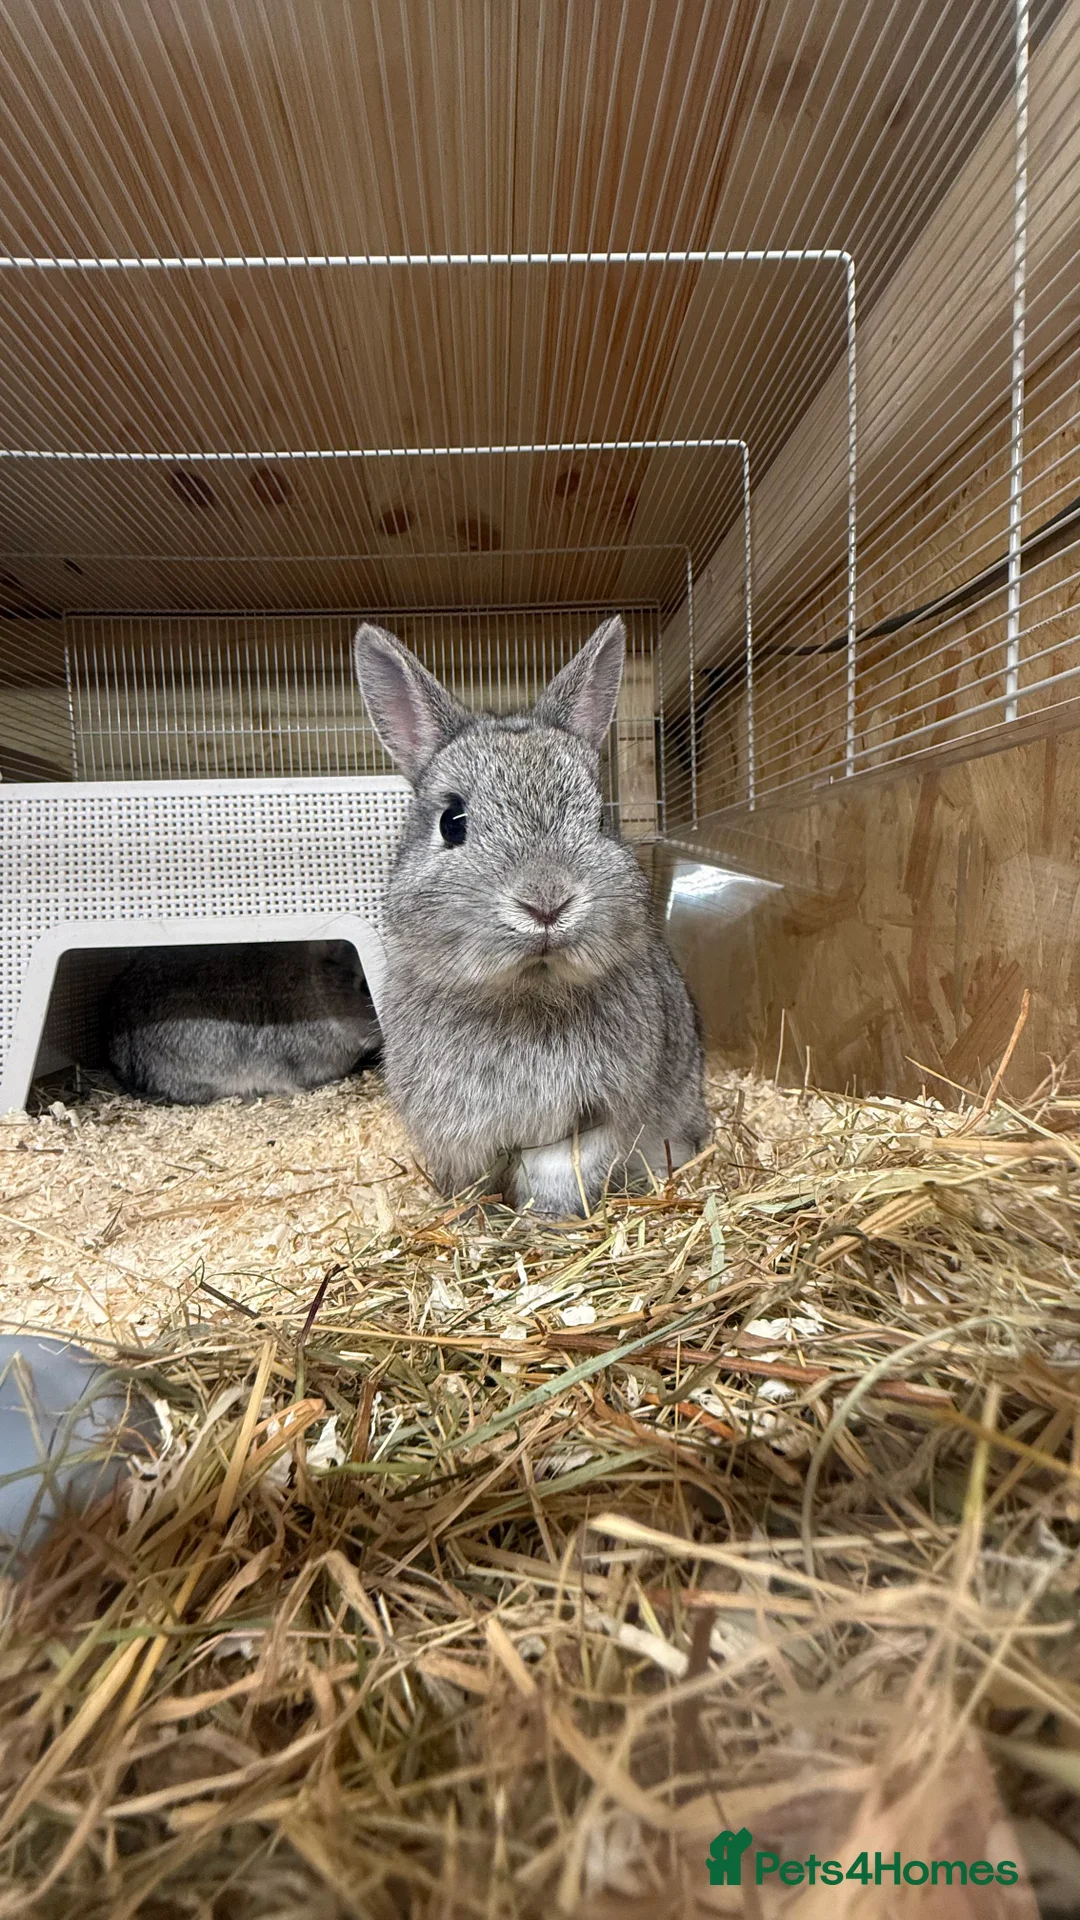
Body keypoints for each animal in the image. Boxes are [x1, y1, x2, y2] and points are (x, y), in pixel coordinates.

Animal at [352, 614, 709, 1217]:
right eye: (452, 821)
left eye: (600, 819)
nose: (547, 902)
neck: (528, 992)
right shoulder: (458, 1132)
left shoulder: (594, 1120)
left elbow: (559, 1169)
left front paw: (544, 1221)